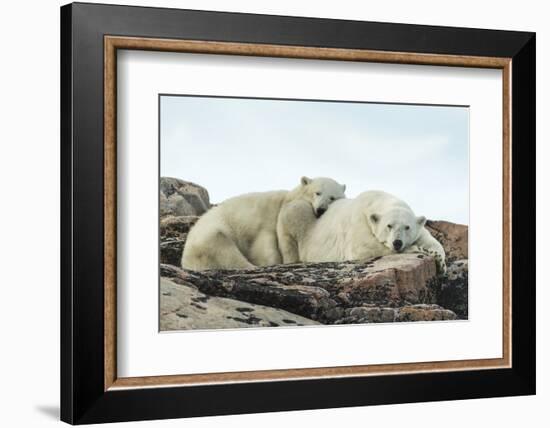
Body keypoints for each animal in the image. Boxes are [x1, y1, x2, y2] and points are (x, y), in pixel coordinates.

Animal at [182, 176, 344, 270]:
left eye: (332, 197)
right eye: (317, 192)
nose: (321, 209)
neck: (286, 199)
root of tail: (185, 259)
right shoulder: (266, 220)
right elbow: (264, 244)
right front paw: (272, 262)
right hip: (211, 235)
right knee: (225, 250)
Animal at [288, 191, 448, 274]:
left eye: (407, 227)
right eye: (389, 226)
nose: (397, 243)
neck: (376, 199)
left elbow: (431, 241)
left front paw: (439, 260)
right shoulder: (360, 220)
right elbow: (363, 247)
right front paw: (417, 248)